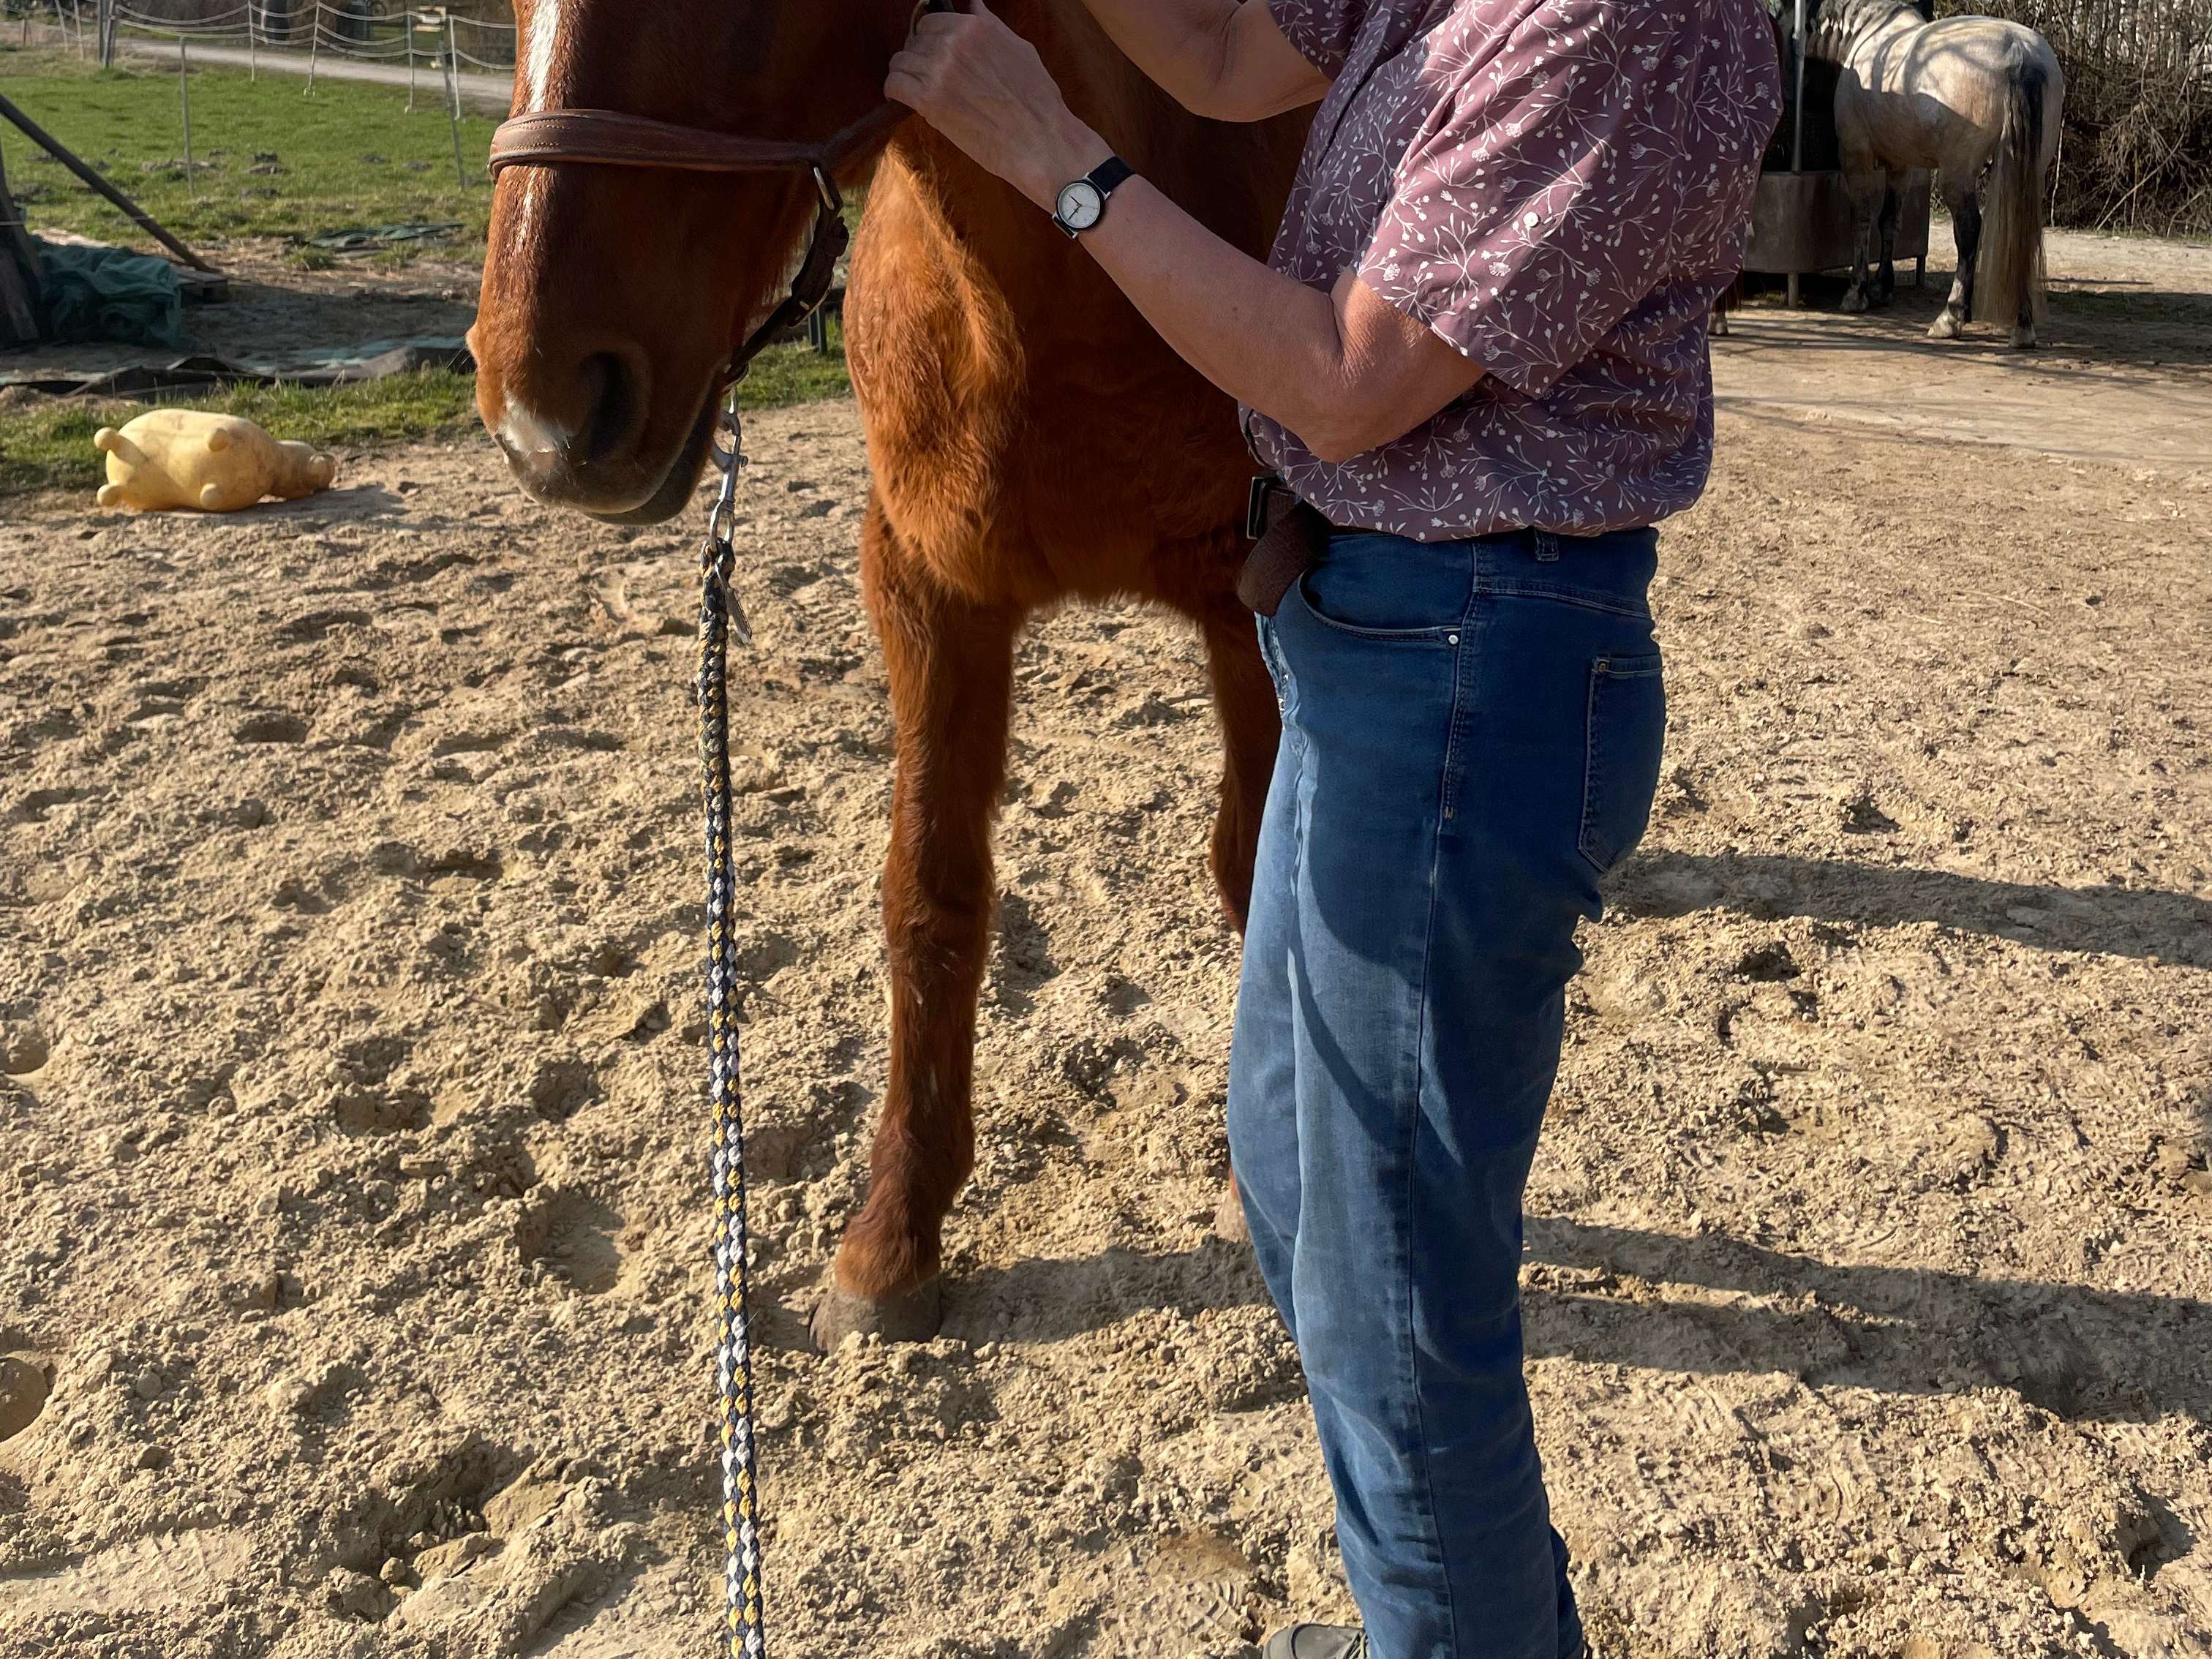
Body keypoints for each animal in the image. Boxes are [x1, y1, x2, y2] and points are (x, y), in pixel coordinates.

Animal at [466, 0, 1307, 1346]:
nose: (540, 413)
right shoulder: (926, 591)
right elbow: (929, 895)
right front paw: (895, 1232)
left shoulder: (1257, 611)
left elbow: (1259, 876)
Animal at [1793, 0, 2063, 347]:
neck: (1867, 35)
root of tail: (2020, 52)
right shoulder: (1900, 164)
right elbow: (1889, 221)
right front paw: (1882, 288)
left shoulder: (1857, 157)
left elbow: (1862, 218)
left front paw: (1857, 292)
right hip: (2024, 171)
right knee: (2022, 231)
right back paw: (2020, 326)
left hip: (1957, 174)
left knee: (1969, 230)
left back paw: (1951, 317)